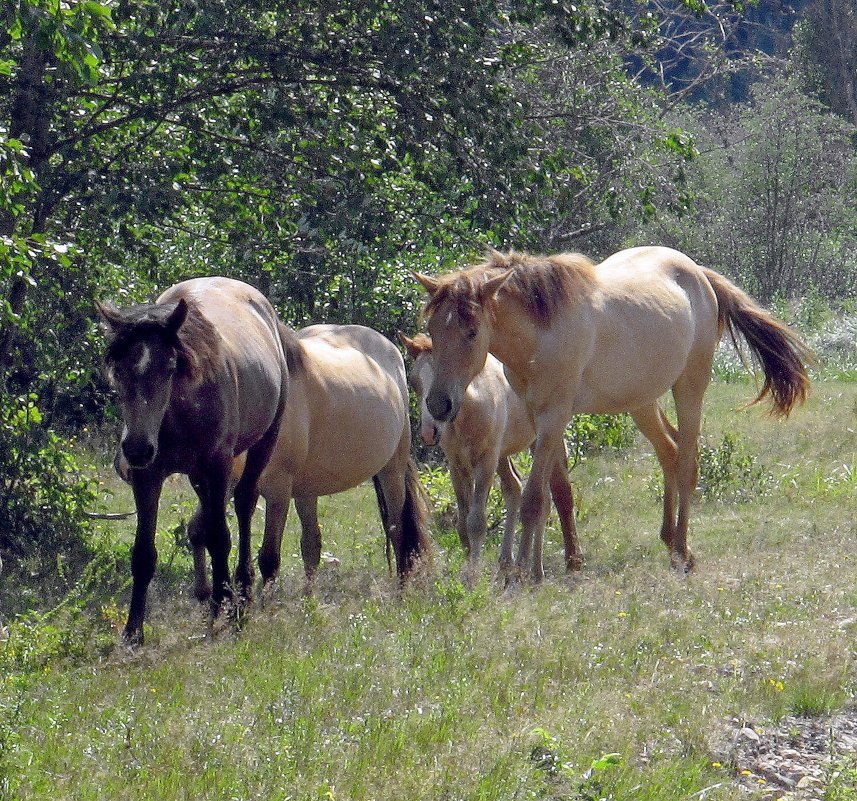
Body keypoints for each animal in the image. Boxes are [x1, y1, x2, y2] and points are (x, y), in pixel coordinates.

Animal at [98, 276, 288, 644]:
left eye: (169, 367)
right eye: (117, 369)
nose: (136, 449)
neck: (178, 410)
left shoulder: (217, 467)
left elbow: (220, 538)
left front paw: (223, 611)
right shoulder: (149, 477)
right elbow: (143, 553)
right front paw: (133, 633)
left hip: (263, 444)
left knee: (243, 506)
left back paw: (242, 595)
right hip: (199, 477)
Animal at [402, 328, 576, 580]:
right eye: (414, 381)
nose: (428, 432)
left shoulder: (486, 463)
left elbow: (476, 522)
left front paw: (473, 576)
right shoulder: (457, 466)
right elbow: (463, 524)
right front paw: (467, 567)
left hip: (540, 441)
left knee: (546, 499)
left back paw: (535, 571)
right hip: (503, 455)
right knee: (514, 488)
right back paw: (506, 564)